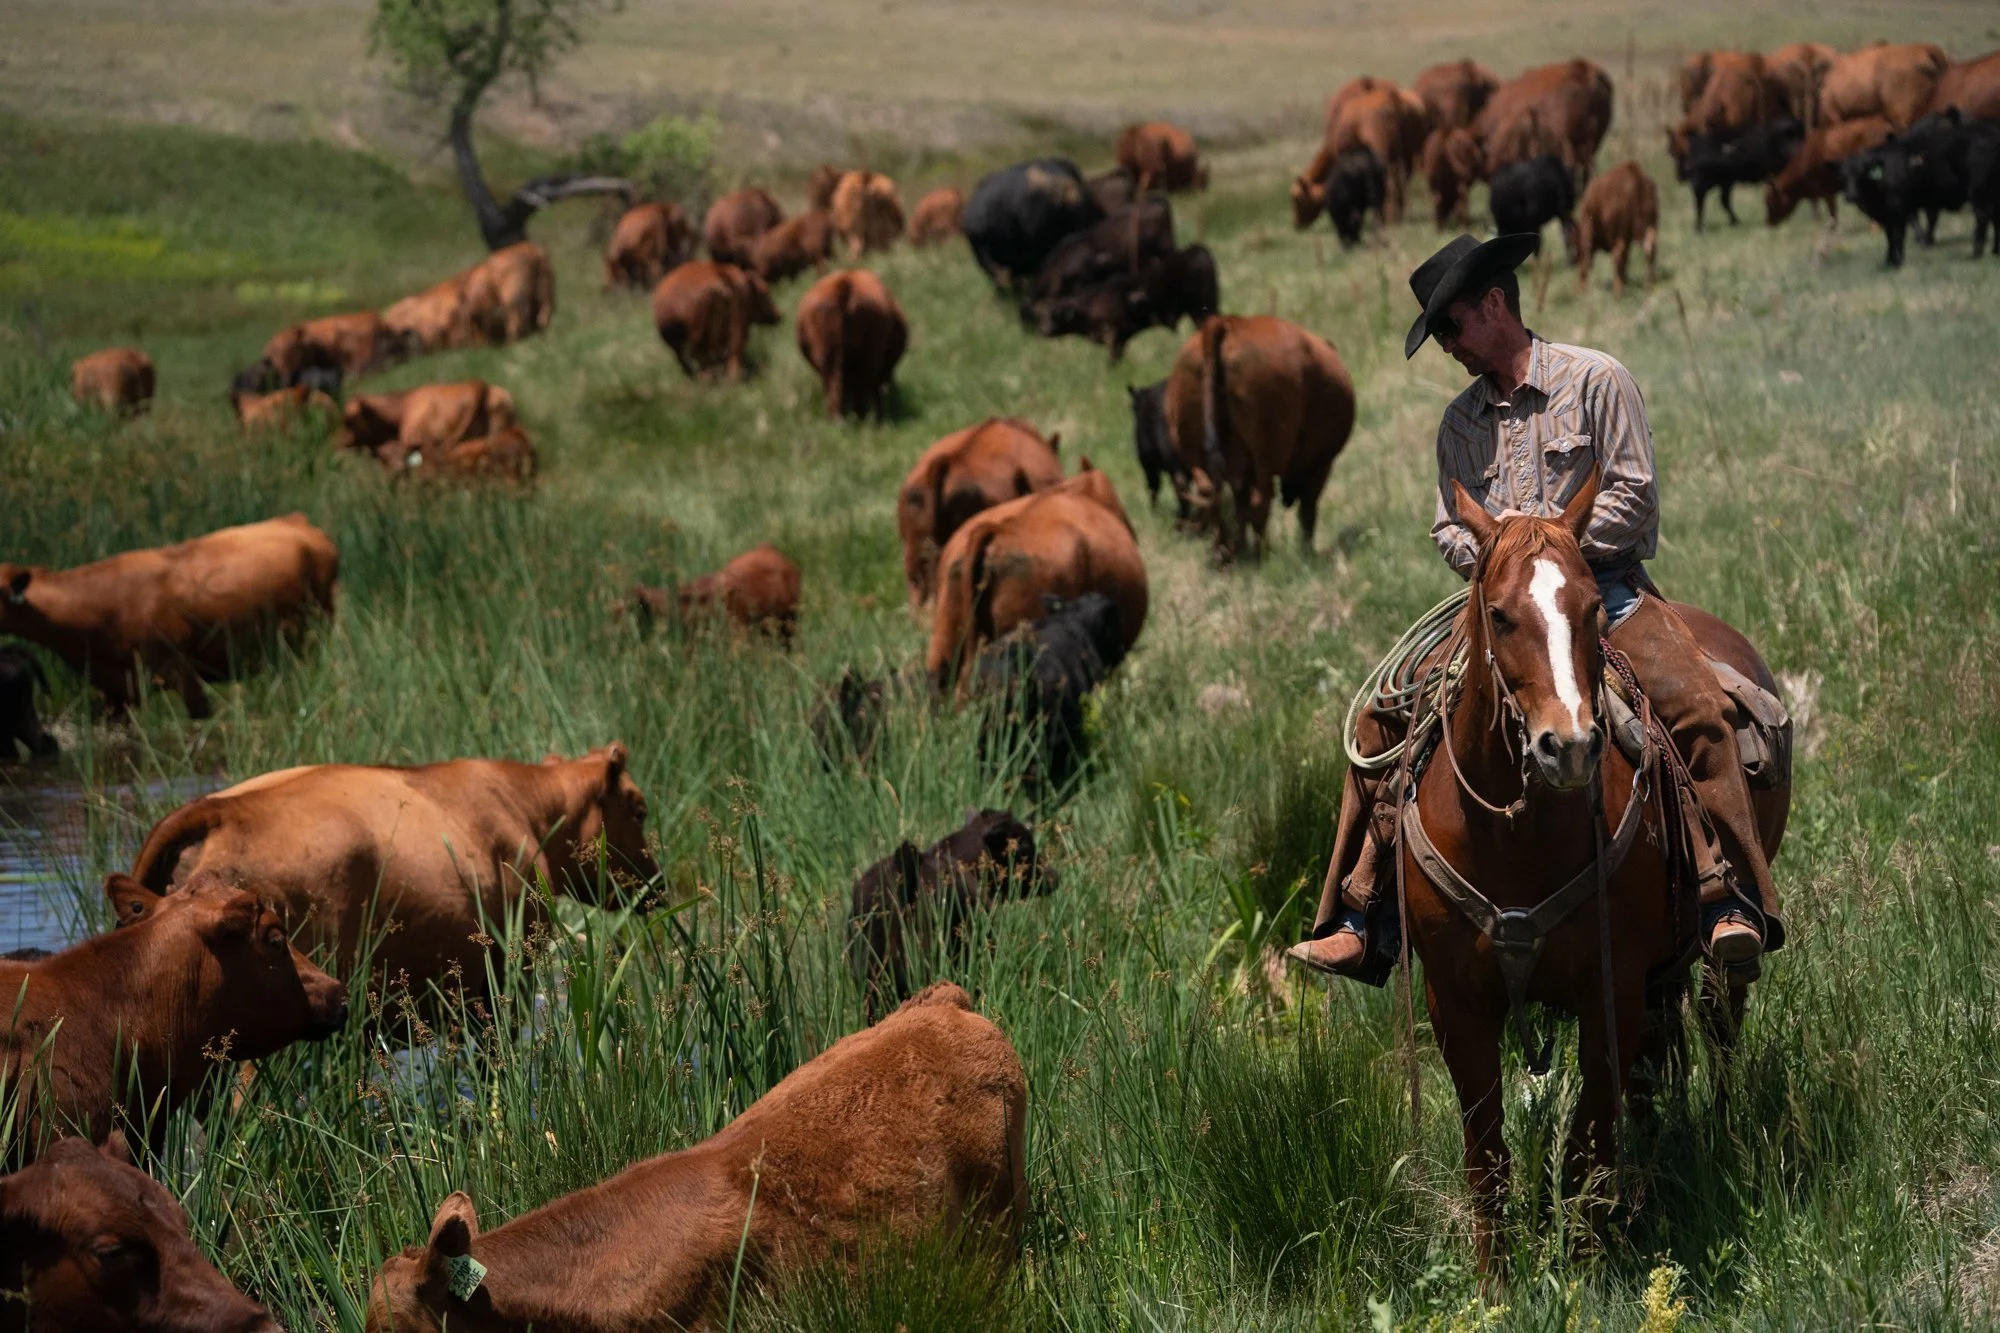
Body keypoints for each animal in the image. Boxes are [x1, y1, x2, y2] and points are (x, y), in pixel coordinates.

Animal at [1027, 243, 1218, 361]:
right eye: (1040, 315)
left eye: (1055, 315)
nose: (1043, 331)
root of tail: (1198, 251)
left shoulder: (1115, 335)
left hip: (1201, 311)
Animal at [1158, 315, 1355, 562]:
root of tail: (1227, 323)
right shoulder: (1320, 465)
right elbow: (1307, 509)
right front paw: (1307, 551)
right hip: (1266, 457)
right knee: (1260, 500)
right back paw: (1261, 554)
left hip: (1193, 452)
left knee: (1213, 494)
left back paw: (1225, 551)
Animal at [1573, 160, 1660, 295]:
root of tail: (1634, 170)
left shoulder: (1588, 231)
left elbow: (1586, 260)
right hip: (1649, 226)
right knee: (1650, 249)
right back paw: (1648, 286)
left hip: (1619, 234)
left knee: (1618, 254)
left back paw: (1617, 293)